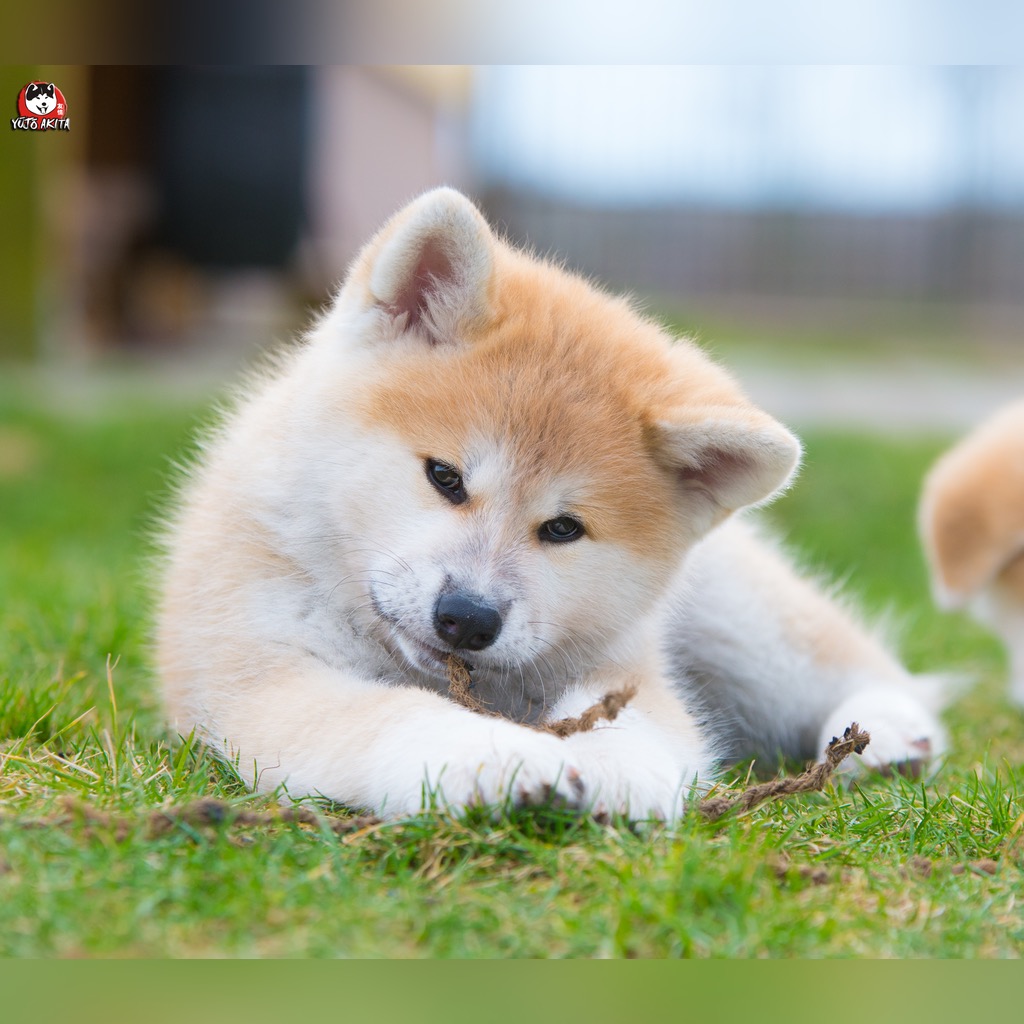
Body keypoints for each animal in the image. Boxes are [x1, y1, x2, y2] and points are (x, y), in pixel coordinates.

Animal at [155, 188, 946, 819]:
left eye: (564, 529)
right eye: (445, 477)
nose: (467, 619)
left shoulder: (626, 672)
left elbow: (635, 730)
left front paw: (612, 774)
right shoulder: (267, 681)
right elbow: (395, 715)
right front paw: (495, 758)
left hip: (739, 622)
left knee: (858, 665)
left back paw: (888, 732)